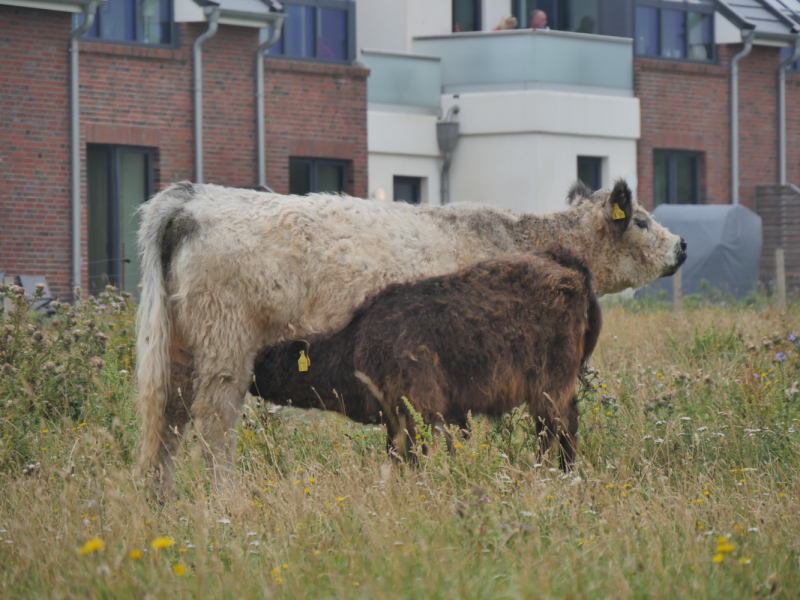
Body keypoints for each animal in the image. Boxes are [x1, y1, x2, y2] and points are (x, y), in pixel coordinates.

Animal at [250, 246, 600, 472]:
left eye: (268, 358)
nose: (249, 377)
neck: (356, 343)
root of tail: (565, 264)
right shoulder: (396, 419)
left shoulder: (416, 410)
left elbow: (412, 459)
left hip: (549, 388)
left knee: (555, 429)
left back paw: (547, 474)